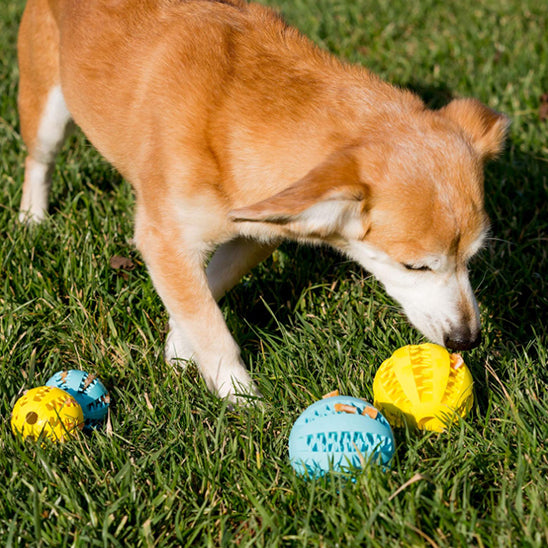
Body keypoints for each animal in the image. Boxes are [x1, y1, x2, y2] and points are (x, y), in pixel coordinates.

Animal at [18, 0, 510, 402]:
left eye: (472, 259)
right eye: (415, 267)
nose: (467, 340)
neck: (233, 110)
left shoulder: (258, 233)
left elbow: (207, 291)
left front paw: (179, 348)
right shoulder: (163, 238)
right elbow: (212, 327)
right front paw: (242, 399)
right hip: (46, 110)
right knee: (38, 161)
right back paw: (31, 218)